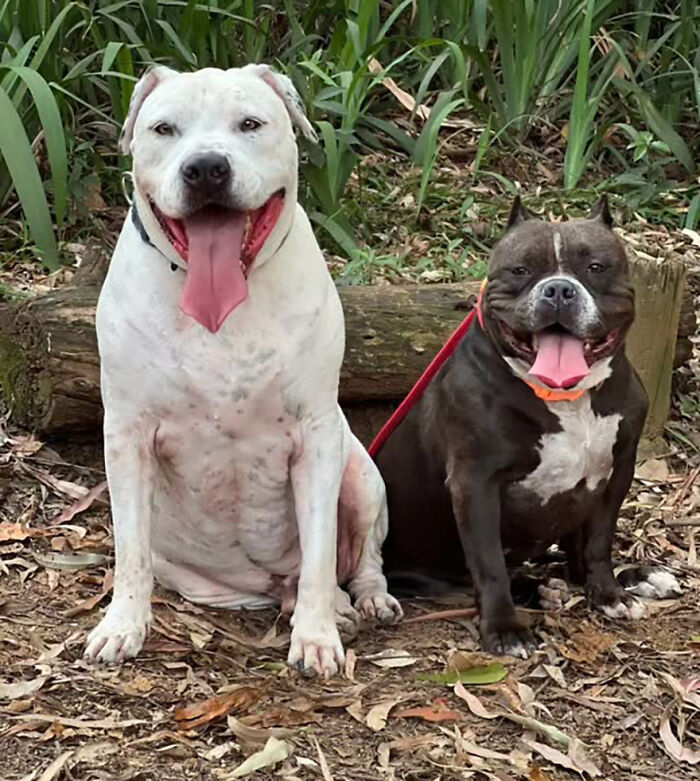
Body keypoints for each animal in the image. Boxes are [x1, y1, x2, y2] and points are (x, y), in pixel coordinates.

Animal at [87, 65, 402, 676]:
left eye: (250, 124)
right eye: (164, 129)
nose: (207, 167)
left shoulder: (317, 436)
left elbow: (321, 553)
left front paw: (317, 637)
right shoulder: (127, 435)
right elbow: (130, 548)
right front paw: (122, 626)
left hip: (362, 474)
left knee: (357, 561)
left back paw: (362, 602)